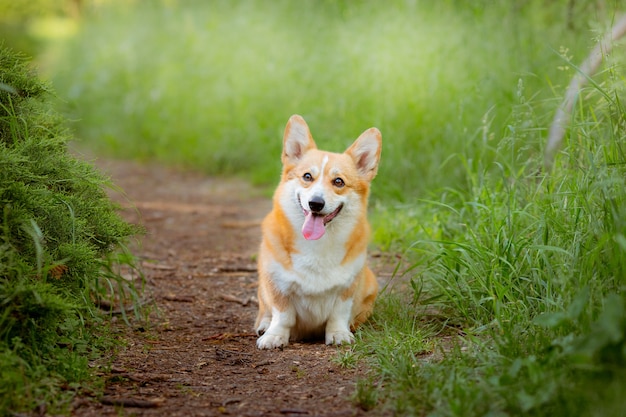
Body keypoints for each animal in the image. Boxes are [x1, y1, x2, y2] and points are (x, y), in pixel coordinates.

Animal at [254, 114, 380, 348]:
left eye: (338, 181)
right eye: (307, 177)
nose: (316, 203)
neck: (317, 245)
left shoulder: (347, 287)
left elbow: (339, 313)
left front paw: (338, 334)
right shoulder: (276, 283)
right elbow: (282, 314)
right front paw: (275, 336)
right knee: (264, 310)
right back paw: (264, 325)